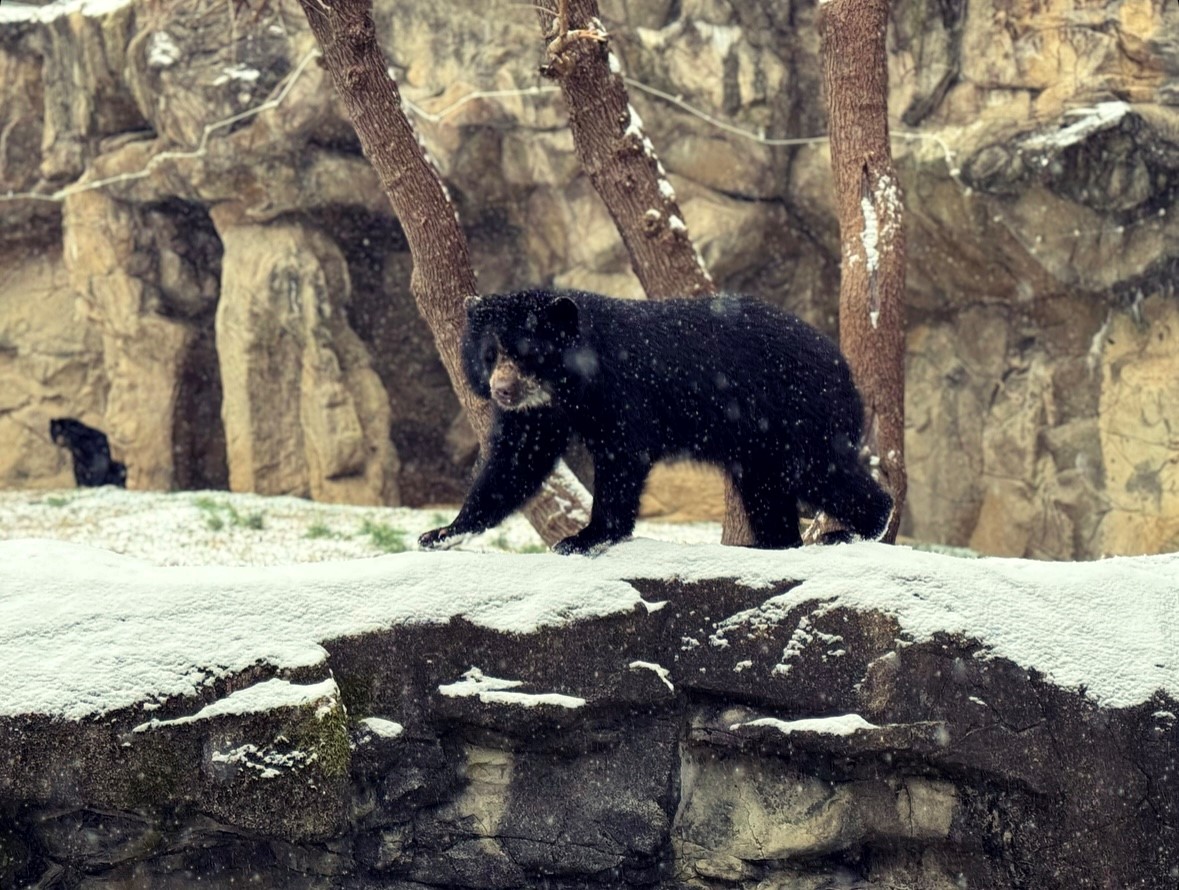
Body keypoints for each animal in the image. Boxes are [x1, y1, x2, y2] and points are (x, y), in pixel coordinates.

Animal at [419, 288, 886, 554]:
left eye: (527, 353)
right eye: (490, 354)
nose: (502, 390)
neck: (571, 386)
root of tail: (845, 369)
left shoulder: (623, 394)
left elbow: (620, 458)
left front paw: (583, 538)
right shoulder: (539, 414)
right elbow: (515, 462)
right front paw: (441, 533)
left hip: (796, 415)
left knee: (820, 469)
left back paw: (856, 529)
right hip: (760, 442)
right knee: (765, 488)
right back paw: (775, 544)